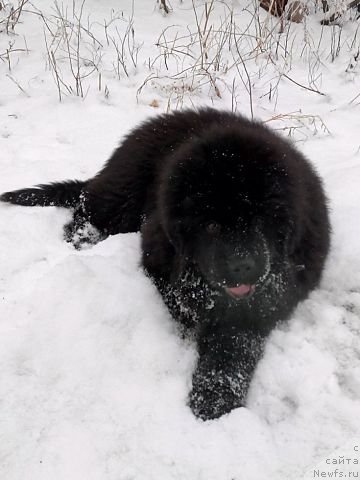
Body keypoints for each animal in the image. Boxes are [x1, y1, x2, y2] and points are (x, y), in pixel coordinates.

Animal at [0, 108, 332, 420]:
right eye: (211, 226)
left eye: (259, 221)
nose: (242, 266)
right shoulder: (158, 253)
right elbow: (179, 300)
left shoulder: (266, 300)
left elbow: (233, 346)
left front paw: (214, 399)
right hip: (125, 193)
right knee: (89, 206)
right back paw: (83, 237)